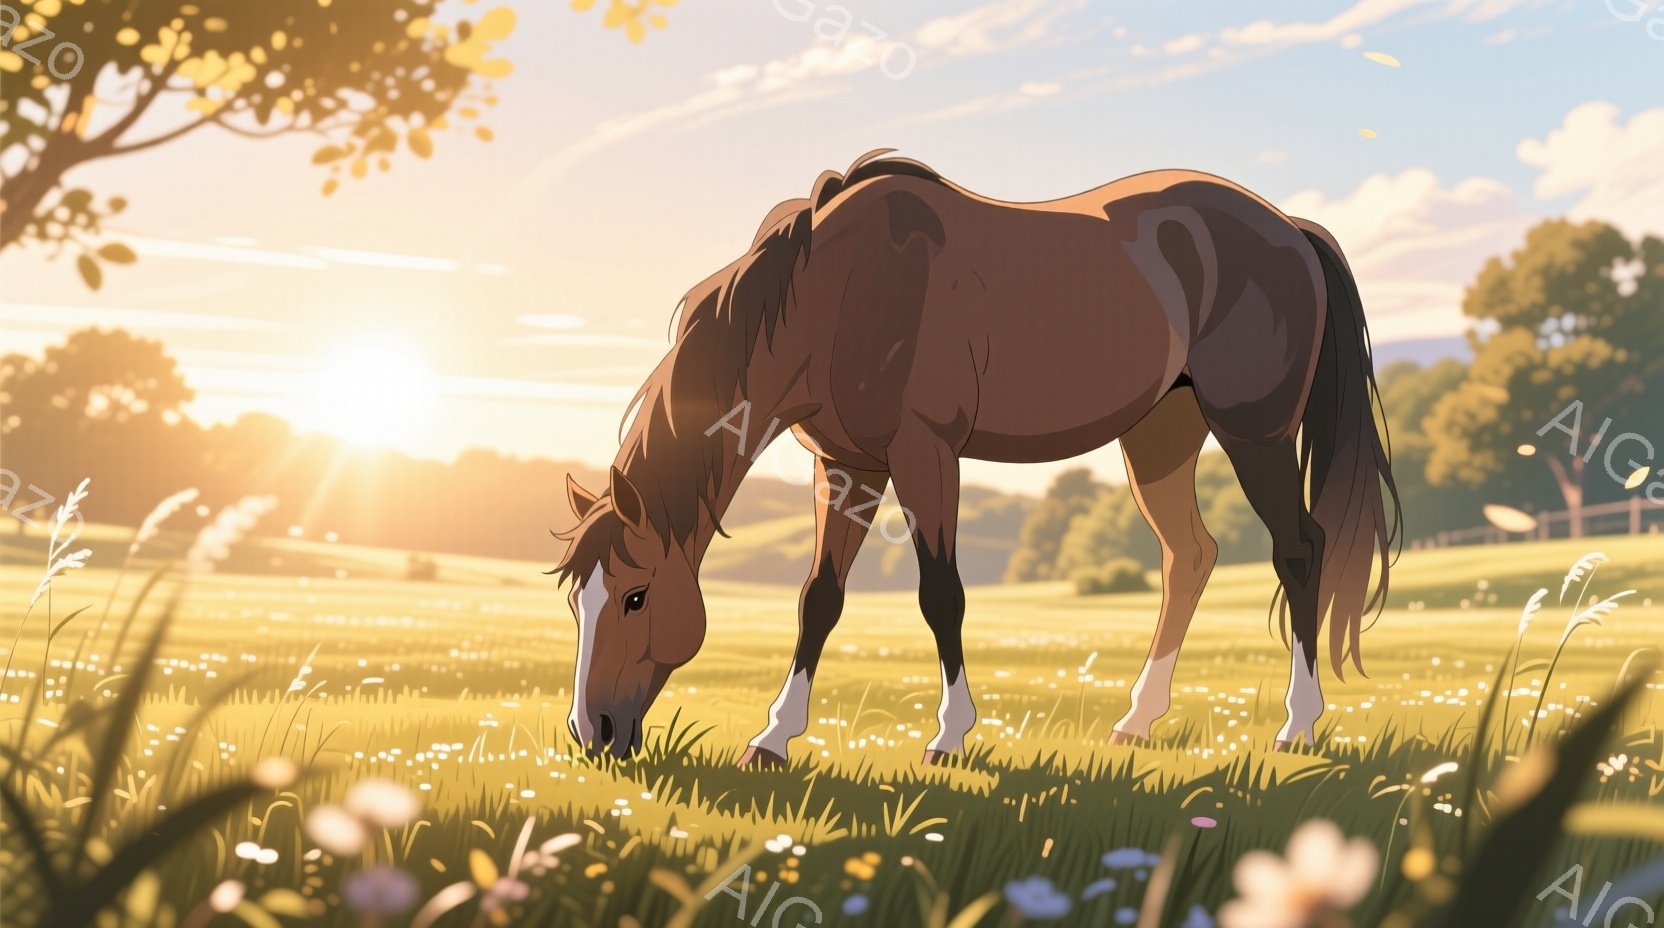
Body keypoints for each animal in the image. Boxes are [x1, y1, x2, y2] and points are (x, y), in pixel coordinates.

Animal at [552, 150, 1399, 763]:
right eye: (576, 602)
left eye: (635, 596)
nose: (592, 734)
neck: (838, 293)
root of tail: (1290, 227)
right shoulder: (848, 466)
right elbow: (819, 599)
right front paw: (774, 739)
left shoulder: (925, 454)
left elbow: (941, 594)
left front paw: (950, 737)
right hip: (1160, 436)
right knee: (1190, 555)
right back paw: (1137, 722)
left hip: (1255, 434)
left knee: (1299, 549)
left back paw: (1297, 727)